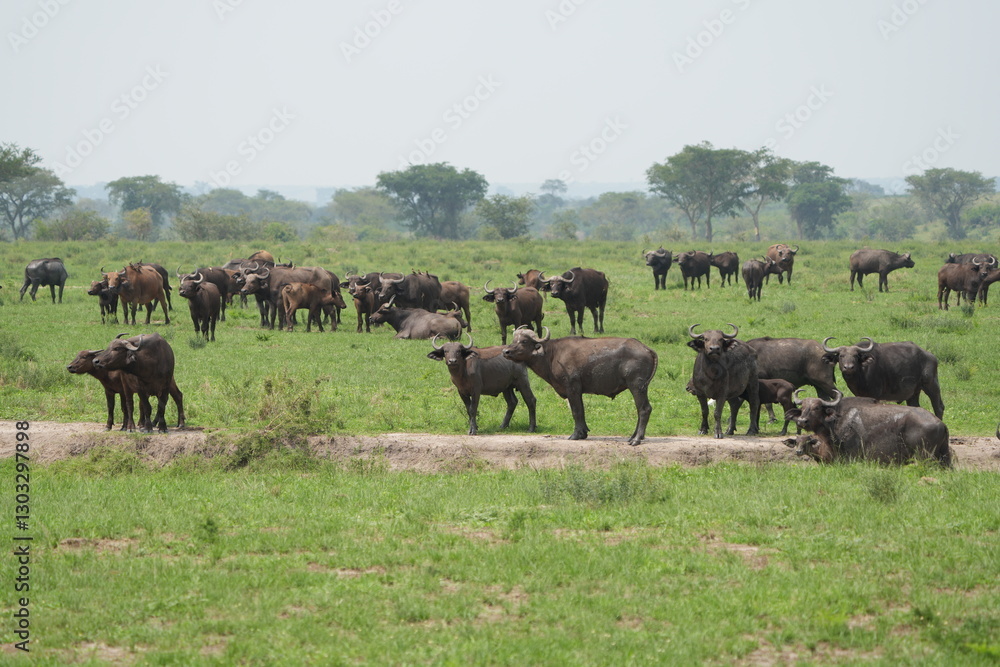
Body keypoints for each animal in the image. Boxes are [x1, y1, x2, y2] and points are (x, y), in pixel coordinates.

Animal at [502, 327, 657, 446]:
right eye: (514, 340)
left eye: (524, 341)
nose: (506, 351)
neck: (552, 355)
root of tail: (646, 349)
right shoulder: (578, 391)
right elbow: (581, 411)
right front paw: (583, 433)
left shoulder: (572, 388)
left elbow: (576, 411)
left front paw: (576, 434)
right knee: (639, 410)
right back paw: (633, 436)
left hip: (637, 386)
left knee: (644, 409)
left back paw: (636, 439)